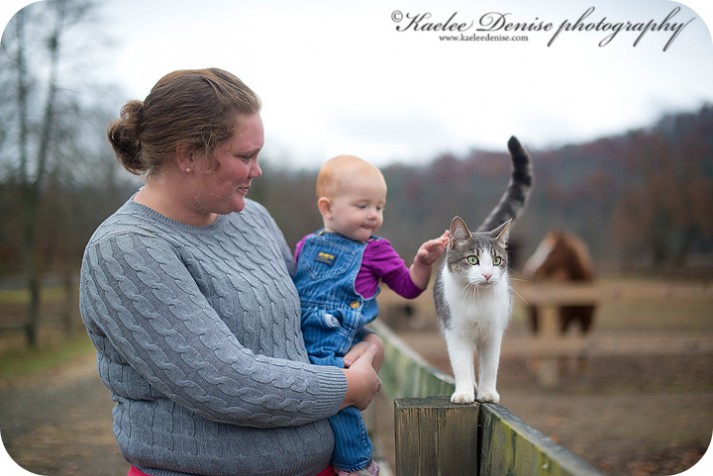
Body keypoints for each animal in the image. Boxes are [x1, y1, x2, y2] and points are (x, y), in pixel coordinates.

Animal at [432, 136, 532, 404]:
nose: (487, 274)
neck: (477, 299)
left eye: (496, 261)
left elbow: (490, 365)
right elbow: (461, 364)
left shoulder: (493, 333)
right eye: (473, 259)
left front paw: (487, 393)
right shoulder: (456, 331)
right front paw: (465, 393)